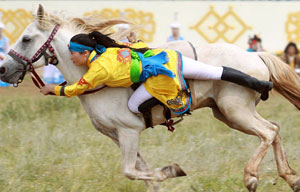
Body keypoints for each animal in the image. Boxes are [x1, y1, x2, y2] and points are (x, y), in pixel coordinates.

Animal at [0, 5, 300, 191]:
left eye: (26, 39)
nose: (4, 69)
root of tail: (255, 55)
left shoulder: (129, 130)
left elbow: (132, 171)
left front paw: (171, 170)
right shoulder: (117, 135)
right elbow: (141, 171)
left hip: (235, 110)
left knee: (267, 132)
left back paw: (251, 177)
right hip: (228, 114)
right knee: (274, 129)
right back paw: (290, 177)